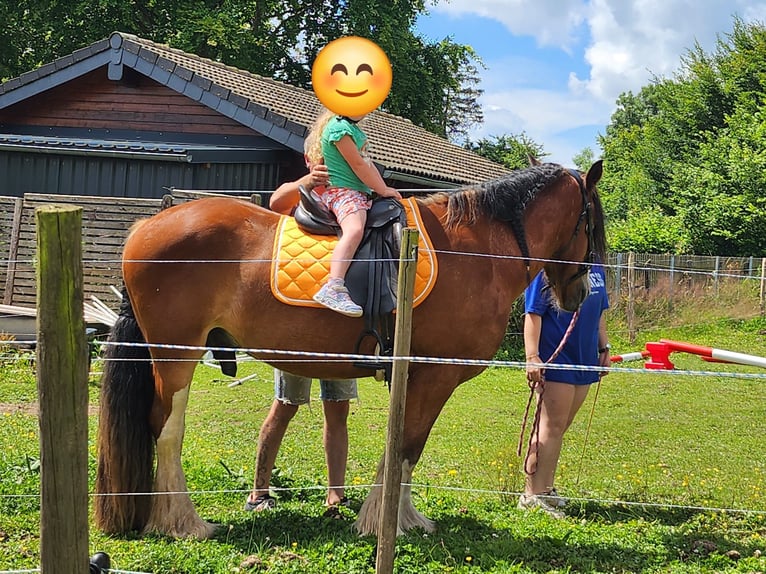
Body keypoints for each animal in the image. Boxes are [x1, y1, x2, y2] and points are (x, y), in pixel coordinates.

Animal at [95, 160, 605, 539]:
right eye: (593, 225)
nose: (580, 293)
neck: (477, 252)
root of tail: (146, 225)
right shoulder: (434, 375)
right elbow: (409, 446)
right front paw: (386, 522)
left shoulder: (411, 376)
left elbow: (401, 447)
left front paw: (399, 517)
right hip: (175, 357)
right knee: (166, 428)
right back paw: (182, 522)